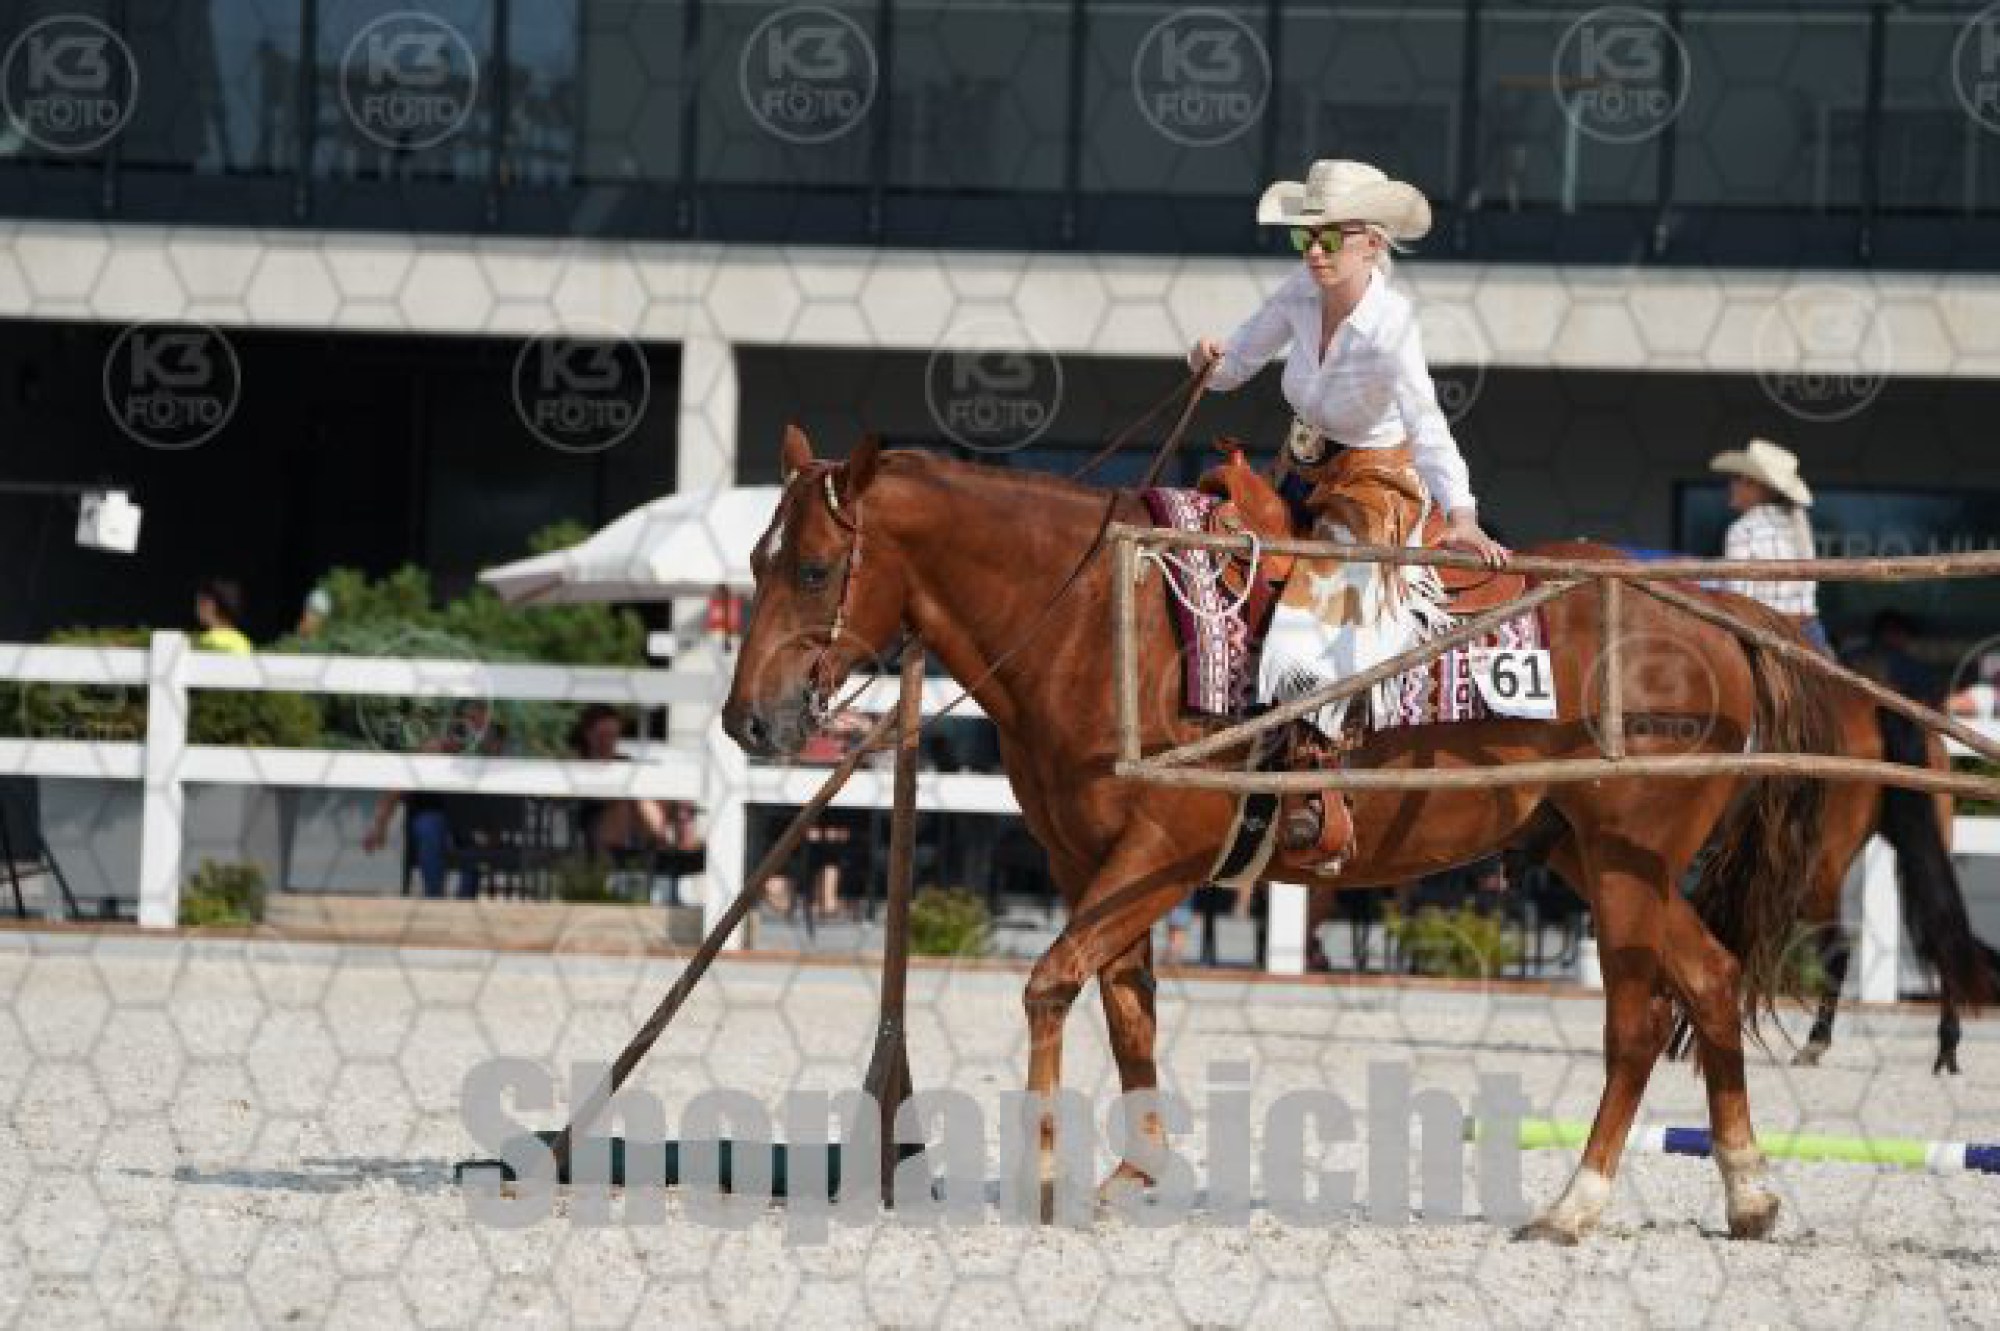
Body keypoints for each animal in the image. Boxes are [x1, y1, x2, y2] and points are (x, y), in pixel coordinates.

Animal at [724, 427, 1844, 1243]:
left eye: (816, 568)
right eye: (754, 559)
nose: (747, 720)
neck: (1098, 615)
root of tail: (1711, 612)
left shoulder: (1167, 849)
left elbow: (1051, 980)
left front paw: (1044, 1170)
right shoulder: (1091, 863)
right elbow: (1127, 1008)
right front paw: (1137, 1170)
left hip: (1624, 862)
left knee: (1635, 1019)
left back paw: (1573, 1205)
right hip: (1586, 848)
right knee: (1708, 979)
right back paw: (1748, 1194)